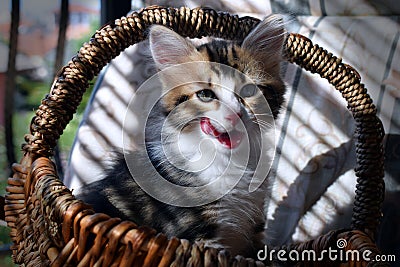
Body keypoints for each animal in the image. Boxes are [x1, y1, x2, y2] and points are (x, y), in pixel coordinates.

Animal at [76, 14, 286, 258]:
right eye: (205, 94)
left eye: (250, 91)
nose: (235, 114)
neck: (229, 161)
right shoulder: (195, 232)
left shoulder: (253, 229)